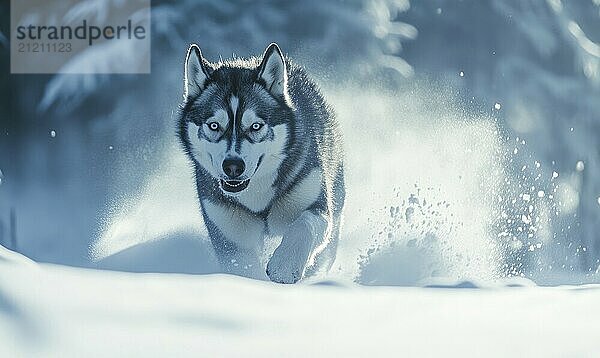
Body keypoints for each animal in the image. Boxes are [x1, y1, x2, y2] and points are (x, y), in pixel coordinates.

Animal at [178, 42, 344, 282]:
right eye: (214, 125)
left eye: (255, 126)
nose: (233, 166)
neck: (257, 196)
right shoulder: (230, 234)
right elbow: (243, 268)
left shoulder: (315, 203)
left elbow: (305, 223)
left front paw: (284, 266)